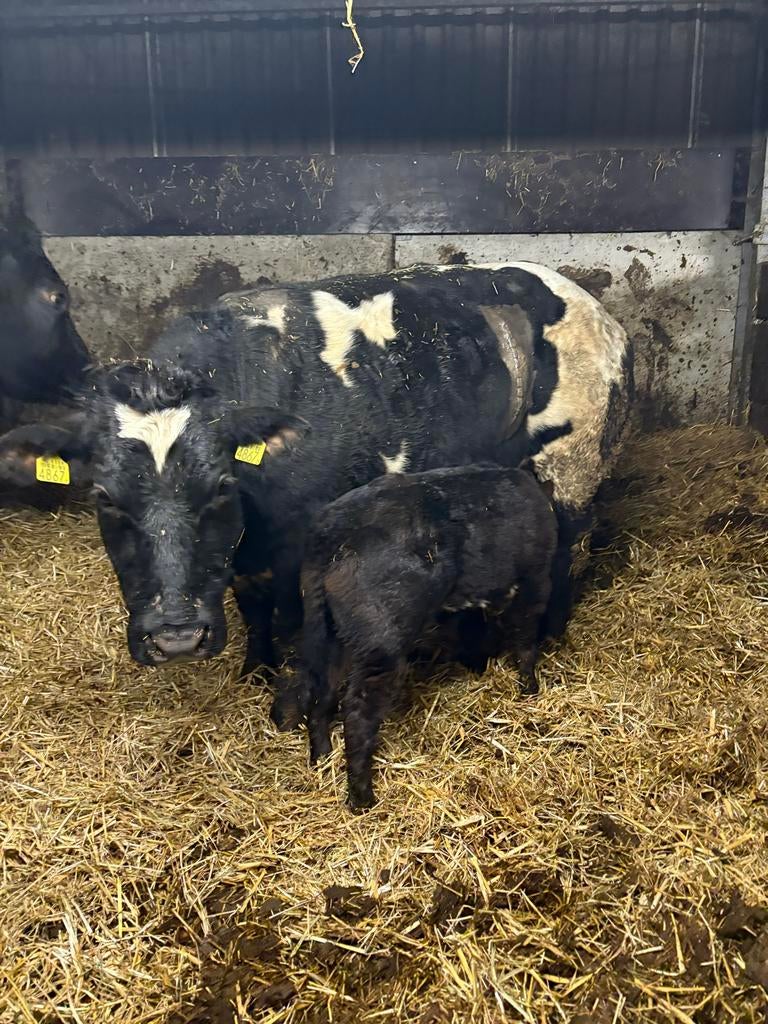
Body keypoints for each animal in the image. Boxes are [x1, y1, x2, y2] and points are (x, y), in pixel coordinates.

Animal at [0, 263, 632, 724]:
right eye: (104, 497)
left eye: (222, 485)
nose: (177, 638)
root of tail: (591, 304)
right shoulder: (242, 559)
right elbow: (254, 612)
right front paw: (254, 669)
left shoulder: (300, 545)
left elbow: (293, 620)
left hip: (575, 466)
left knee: (568, 550)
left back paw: (550, 631)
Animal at [295, 463, 558, 808]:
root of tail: (331, 534)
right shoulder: (534, 582)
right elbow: (525, 641)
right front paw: (530, 690)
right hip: (381, 643)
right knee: (357, 711)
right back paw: (362, 798)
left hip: (327, 631)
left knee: (322, 690)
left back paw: (321, 757)